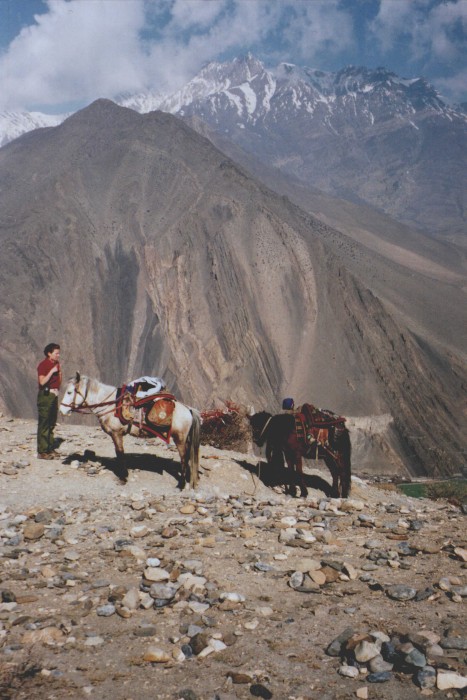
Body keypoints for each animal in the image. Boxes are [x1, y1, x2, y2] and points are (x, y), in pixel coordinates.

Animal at [60, 370, 201, 490]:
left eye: (69, 392)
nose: (62, 410)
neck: (110, 404)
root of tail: (188, 409)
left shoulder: (116, 433)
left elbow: (120, 453)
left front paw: (123, 478)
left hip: (179, 439)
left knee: (184, 458)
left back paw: (181, 484)